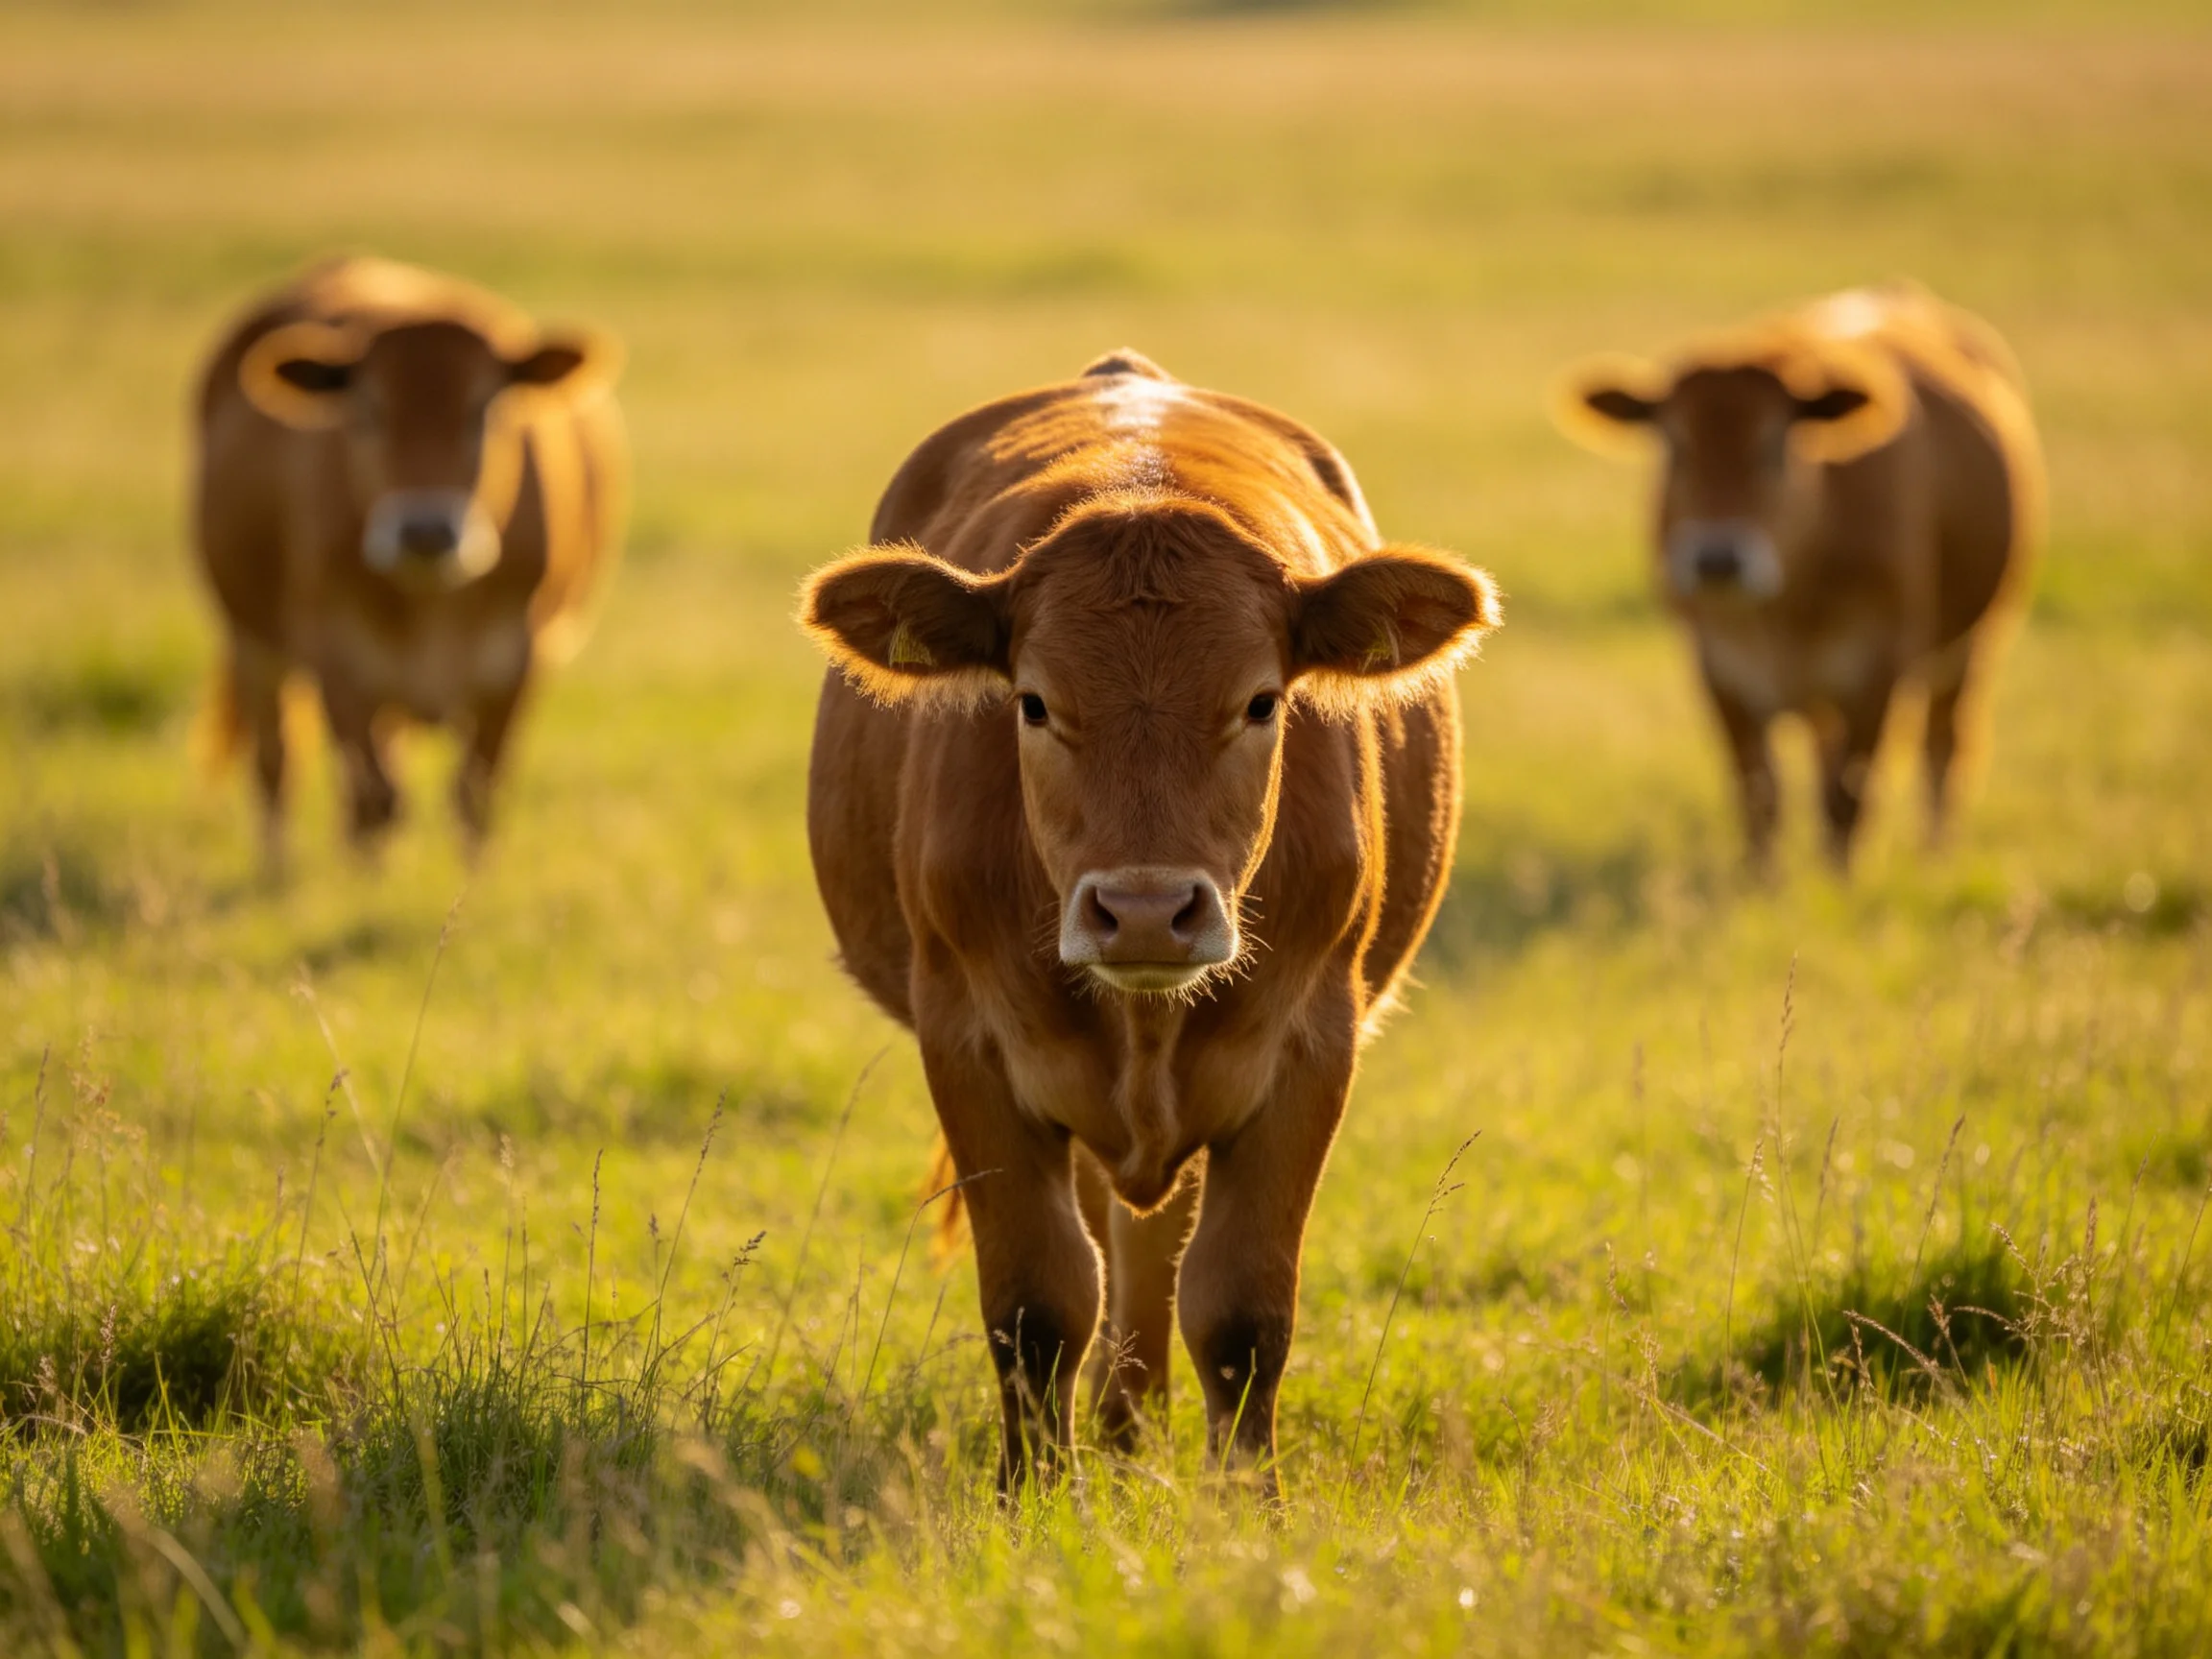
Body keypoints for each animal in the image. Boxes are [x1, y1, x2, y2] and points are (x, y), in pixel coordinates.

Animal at [193, 255, 625, 864]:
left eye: (483, 409)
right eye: (368, 410)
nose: (425, 530)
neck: (432, 601)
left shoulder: (516, 659)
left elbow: (475, 796)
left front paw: (473, 880)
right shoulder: (338, 659)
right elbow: (374, 800)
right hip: (249, 636)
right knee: (275, 763)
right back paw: (276, 871)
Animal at [799, 350, 1500, 1492]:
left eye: (1261, 702)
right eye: (1034, 703)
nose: (1141, 914)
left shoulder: (1310, 1046)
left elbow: (1242, 1309)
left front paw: (1247, 1500)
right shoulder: (969, 1043)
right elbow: (1038, 1302)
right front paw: (1033, 1495)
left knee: (1155, 1246)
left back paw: (1131, 1426)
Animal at [1553, 282, 2042, 871]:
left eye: (1775, 444)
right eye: (1675, 445)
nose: (1717, 559)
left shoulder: (1878, 670)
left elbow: (1848, 798)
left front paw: (1839, 882)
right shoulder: (1720, 670)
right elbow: (1758, 792)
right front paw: (1762, 880)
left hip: (1970, 644)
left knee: (1944, 746)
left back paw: (1936, 854)